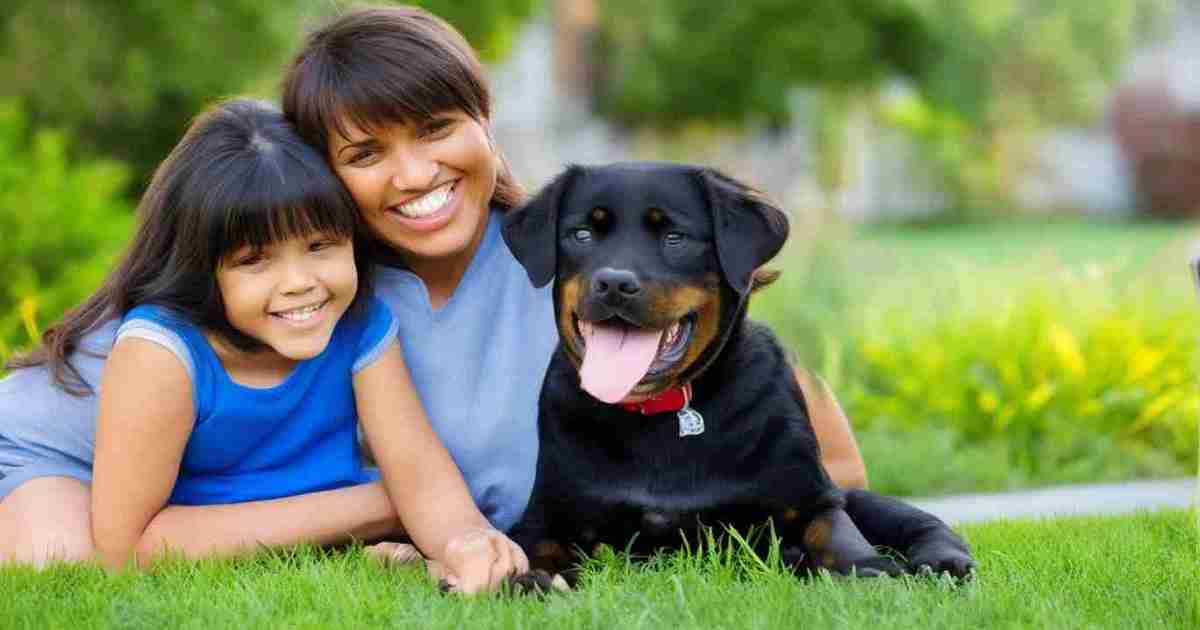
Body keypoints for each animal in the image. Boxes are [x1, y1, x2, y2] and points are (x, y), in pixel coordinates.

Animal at [499, 163, 974, 590]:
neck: (661, 414)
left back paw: (943, 561)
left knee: (921, 523)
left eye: (674, 237)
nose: (614, 283)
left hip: (863, 498)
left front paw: (866, 566)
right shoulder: (547, 516)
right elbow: (534, 545)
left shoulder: (812, 496)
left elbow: (832, 529)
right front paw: (532, 577)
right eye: (582, 235)